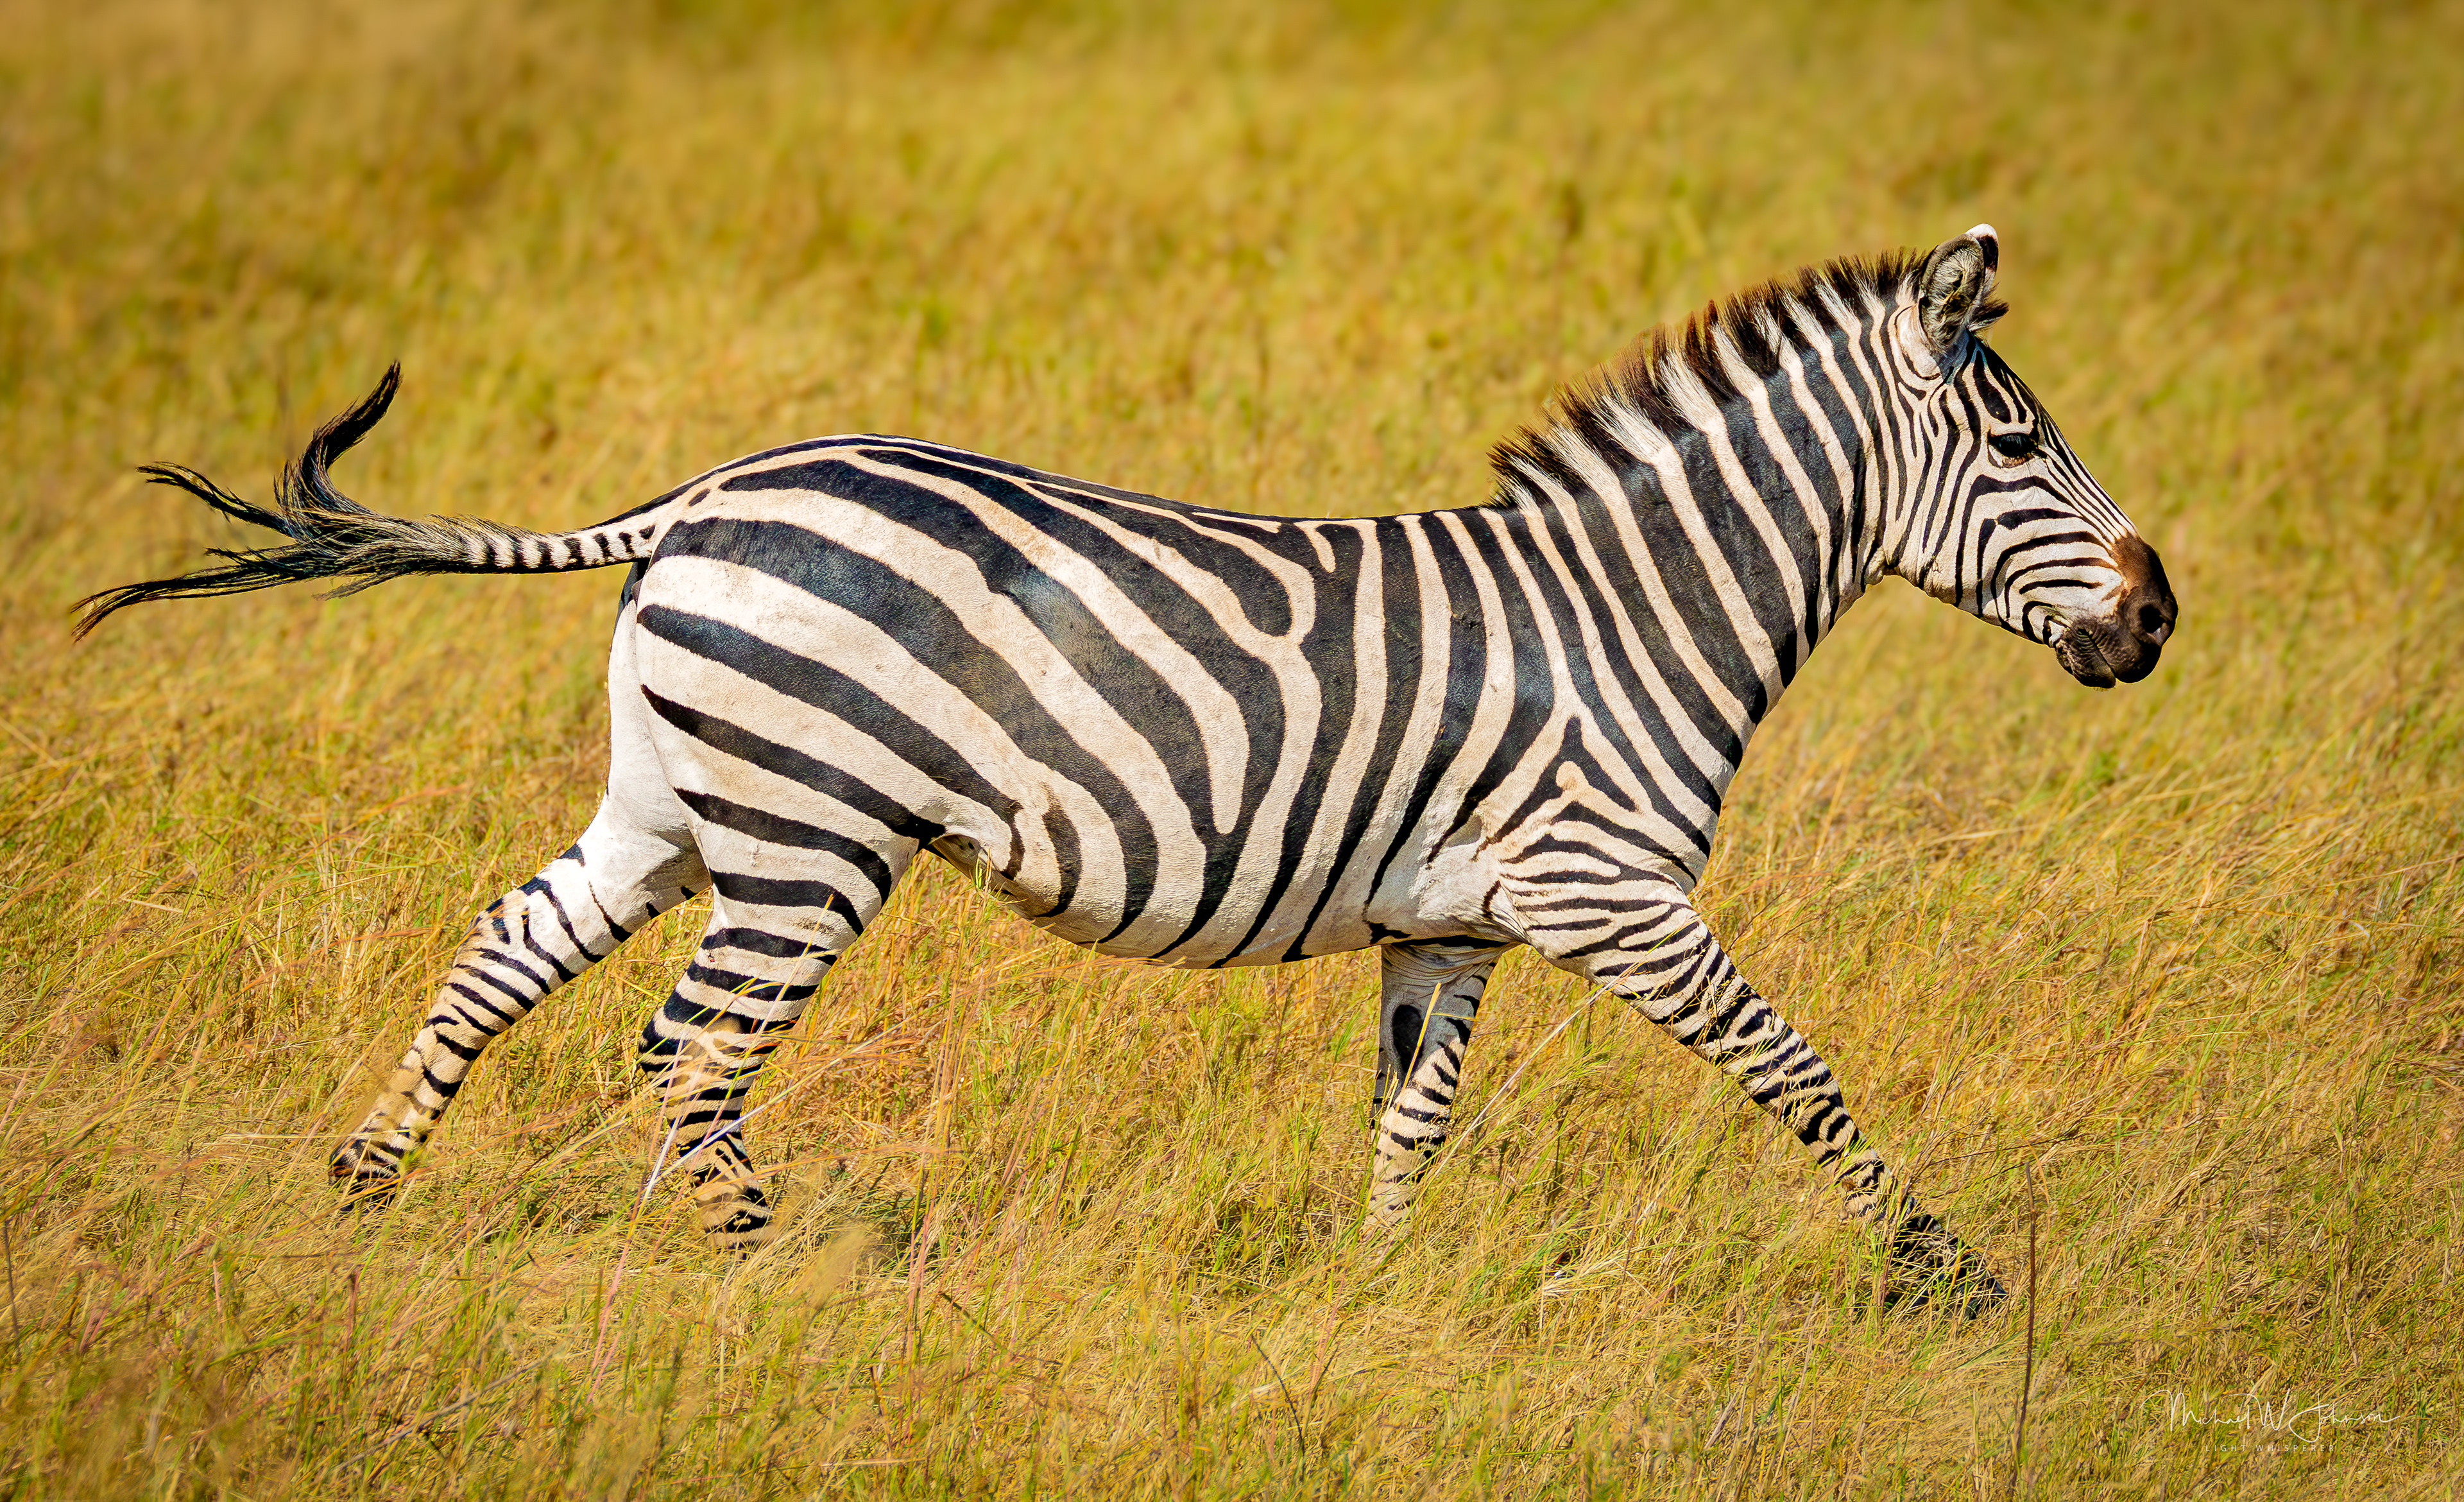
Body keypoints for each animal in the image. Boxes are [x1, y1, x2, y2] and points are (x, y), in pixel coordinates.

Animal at [81, 225, 2174, 1309]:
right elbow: (1796, 1072)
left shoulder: (1452, 924)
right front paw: (1955, 1282)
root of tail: (707, 493)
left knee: (509, 949)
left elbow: (1411, 1120)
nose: (2156, 618)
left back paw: (362, 1189)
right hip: (812, 831)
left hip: (677, 800)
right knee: (693, 1053)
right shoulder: (1607, 893)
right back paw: (789, 1285)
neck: (1626, 611)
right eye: (2014, 445)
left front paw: (1369, 1307)